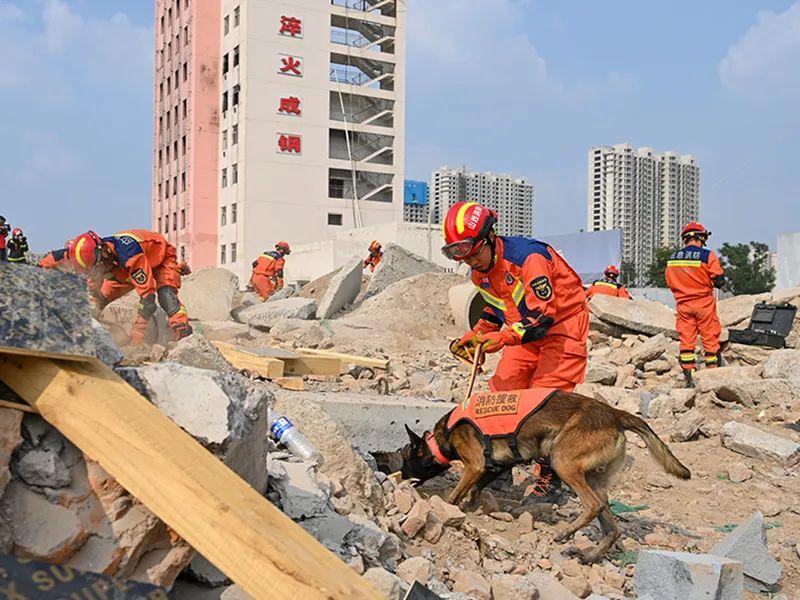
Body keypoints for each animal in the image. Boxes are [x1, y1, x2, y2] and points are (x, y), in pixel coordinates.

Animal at [404, 390, 692, 564]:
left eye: (406, 456)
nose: (402, 476)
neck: (442, 437)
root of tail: (615, 414)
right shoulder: (494, 466)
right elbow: (475, 488)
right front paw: (470, 505)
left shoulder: (475, 465)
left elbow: (458, 491)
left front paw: (447, 506)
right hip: (595, 479)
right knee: (612, 525)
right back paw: (590, 555)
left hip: (563, 461)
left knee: (593, 505)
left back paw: (566, 533)